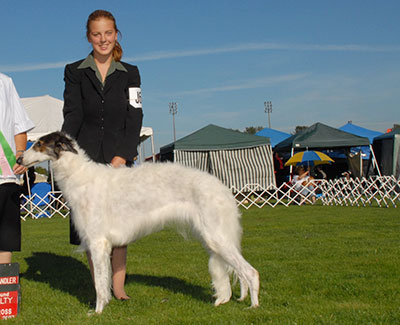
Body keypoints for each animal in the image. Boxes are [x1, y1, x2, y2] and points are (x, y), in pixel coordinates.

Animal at [18, 131, 260, 312]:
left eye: (39, 144)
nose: (19, 159)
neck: (80, 177)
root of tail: (222, 188)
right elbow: (102, 282)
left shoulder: (98, 242)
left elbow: (100, 286)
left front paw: (97, 311)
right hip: (213, 238)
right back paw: (230, 299)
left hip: (216, 237)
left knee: (251, 272)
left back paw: (254, 306)